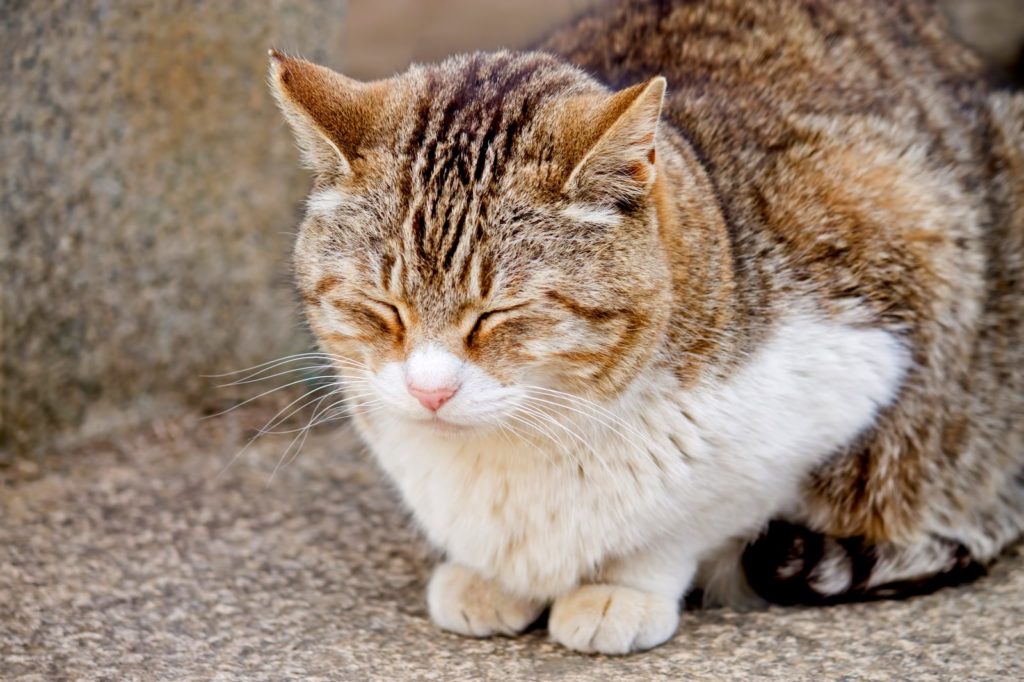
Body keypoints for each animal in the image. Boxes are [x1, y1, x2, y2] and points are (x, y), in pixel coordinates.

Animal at [266, 0, 1024, 655]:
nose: (429, 392)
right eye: (382, 307)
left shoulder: (866, 343)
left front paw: (622, 587)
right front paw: (489, 575)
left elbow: (690, 516)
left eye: (499, 312)